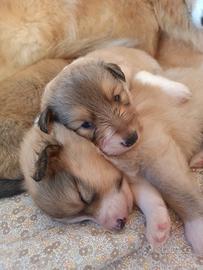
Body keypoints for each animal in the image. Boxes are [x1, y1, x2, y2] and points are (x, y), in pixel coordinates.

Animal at [38, 45, 203, 254]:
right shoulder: (134, 176)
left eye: (116, 97)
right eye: (86, 124)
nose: (132, 138)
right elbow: (149, 197)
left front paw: (178, 90)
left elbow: (144, 75)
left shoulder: (131, 72)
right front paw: (157, 227)